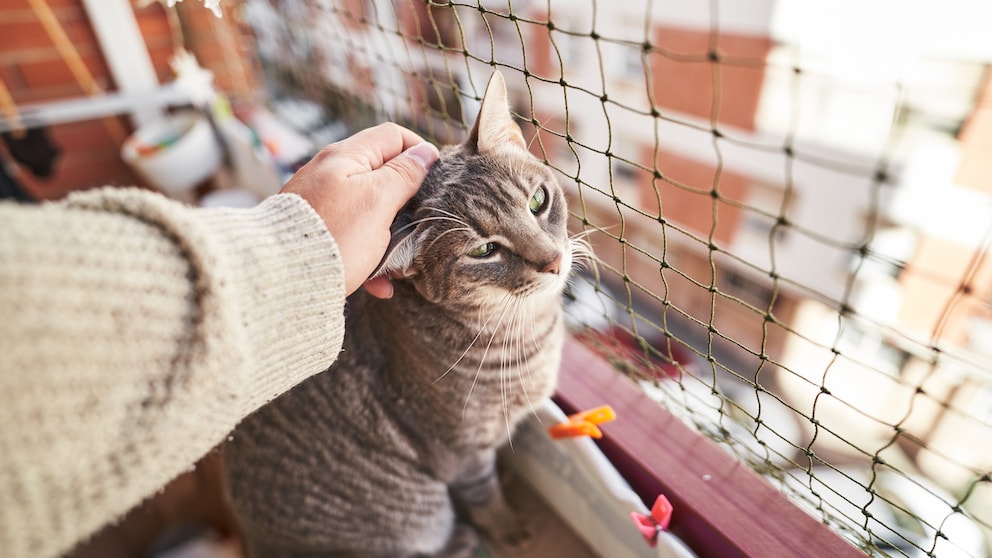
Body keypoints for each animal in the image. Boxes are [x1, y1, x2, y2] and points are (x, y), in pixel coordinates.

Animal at [223, 73, 580, 558]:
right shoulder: (460, 453)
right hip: (415, 511)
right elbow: (485, 497)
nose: (553, 261)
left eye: (539, 200)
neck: (528, 328)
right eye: (484, 250)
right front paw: (507, 528)